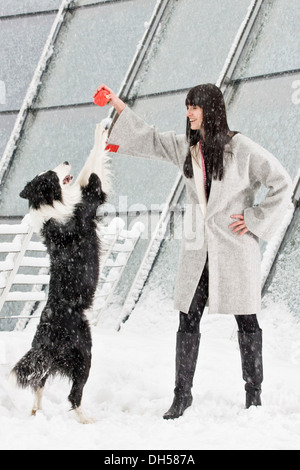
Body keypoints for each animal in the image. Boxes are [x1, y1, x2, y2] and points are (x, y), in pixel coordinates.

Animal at [9, 123, 110, 424]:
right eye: (51, 174)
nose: (64, 160)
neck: (49, 205)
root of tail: (45, 341)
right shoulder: (88, 200)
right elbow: (91, 171)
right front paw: (102, 127)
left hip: (51, 361)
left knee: (39, 381)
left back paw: (35, 411)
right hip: (84, 351)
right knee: (73, 394)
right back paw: (86, 419)